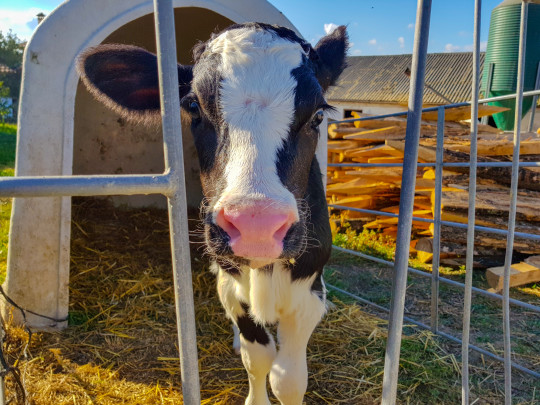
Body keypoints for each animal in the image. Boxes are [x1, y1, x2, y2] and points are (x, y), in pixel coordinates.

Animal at [78, 22, 348, 404]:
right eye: (193, 107)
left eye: (318, 115)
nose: (255, 226)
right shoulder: (233, 286)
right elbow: (258, 358)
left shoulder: (309, 290)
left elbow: (289, 379)